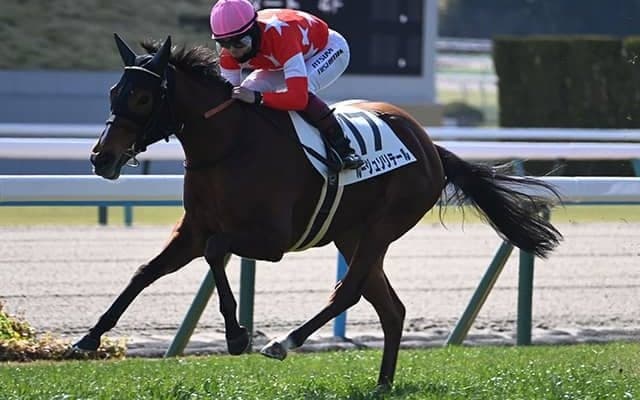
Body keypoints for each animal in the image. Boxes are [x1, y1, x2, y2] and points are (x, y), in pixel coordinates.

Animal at [74, 34, 562, 391]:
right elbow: (145, 272)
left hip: (384, 226)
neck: (227, 145)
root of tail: (429, 146)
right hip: (352, 233)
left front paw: (237, 335)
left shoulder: (271, 240)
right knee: (392, 308)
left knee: (348, 292)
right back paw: (382, 385)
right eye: (115, 91)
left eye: (142, 98)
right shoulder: (192, 230)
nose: (102, 157)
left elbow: (215, 252)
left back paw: (284, 341)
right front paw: (90, 337)